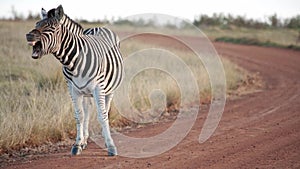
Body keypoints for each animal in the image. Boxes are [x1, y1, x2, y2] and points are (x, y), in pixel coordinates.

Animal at [26, 5, 123, 156]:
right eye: (36, 24)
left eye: (51, 27)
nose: (29, 36)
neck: (75, 61)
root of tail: (98, 27)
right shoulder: (73, 88)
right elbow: (79, 116)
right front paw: (78, 144)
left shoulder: (98, 87)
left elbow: (102, 116)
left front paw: (111, 146)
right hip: (85, 92)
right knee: (87, 110)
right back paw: (84, 140)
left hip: (109, 89)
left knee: (105, 110)